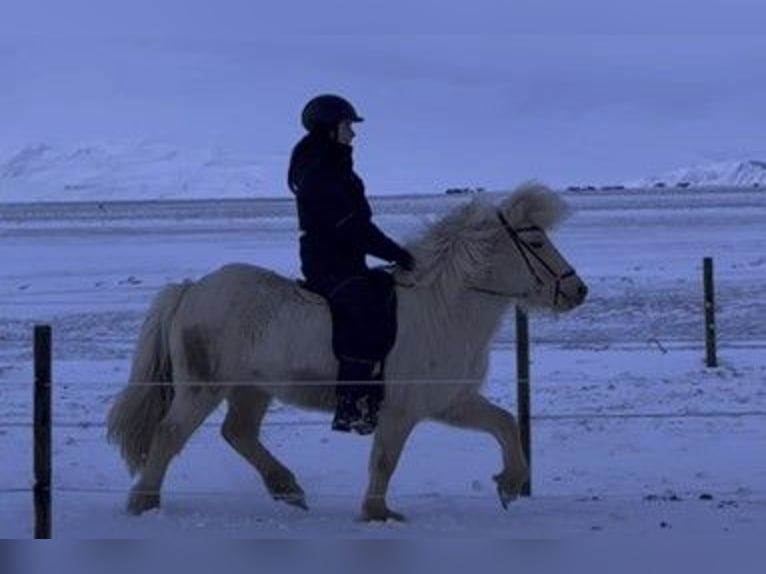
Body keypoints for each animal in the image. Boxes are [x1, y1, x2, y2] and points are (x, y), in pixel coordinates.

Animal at [106, 182, 588, 524]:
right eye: (537, 241)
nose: (578, 291)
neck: (443, 308)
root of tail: (192, 289)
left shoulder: (450, 401)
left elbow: (504, 423)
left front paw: (509, 484)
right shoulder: (400, 411)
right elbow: (385, 461)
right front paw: (378, 514)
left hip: (252, 389)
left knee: (237, 433)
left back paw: (287, 489)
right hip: (202, 387)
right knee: (169, 435)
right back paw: (143, 503)